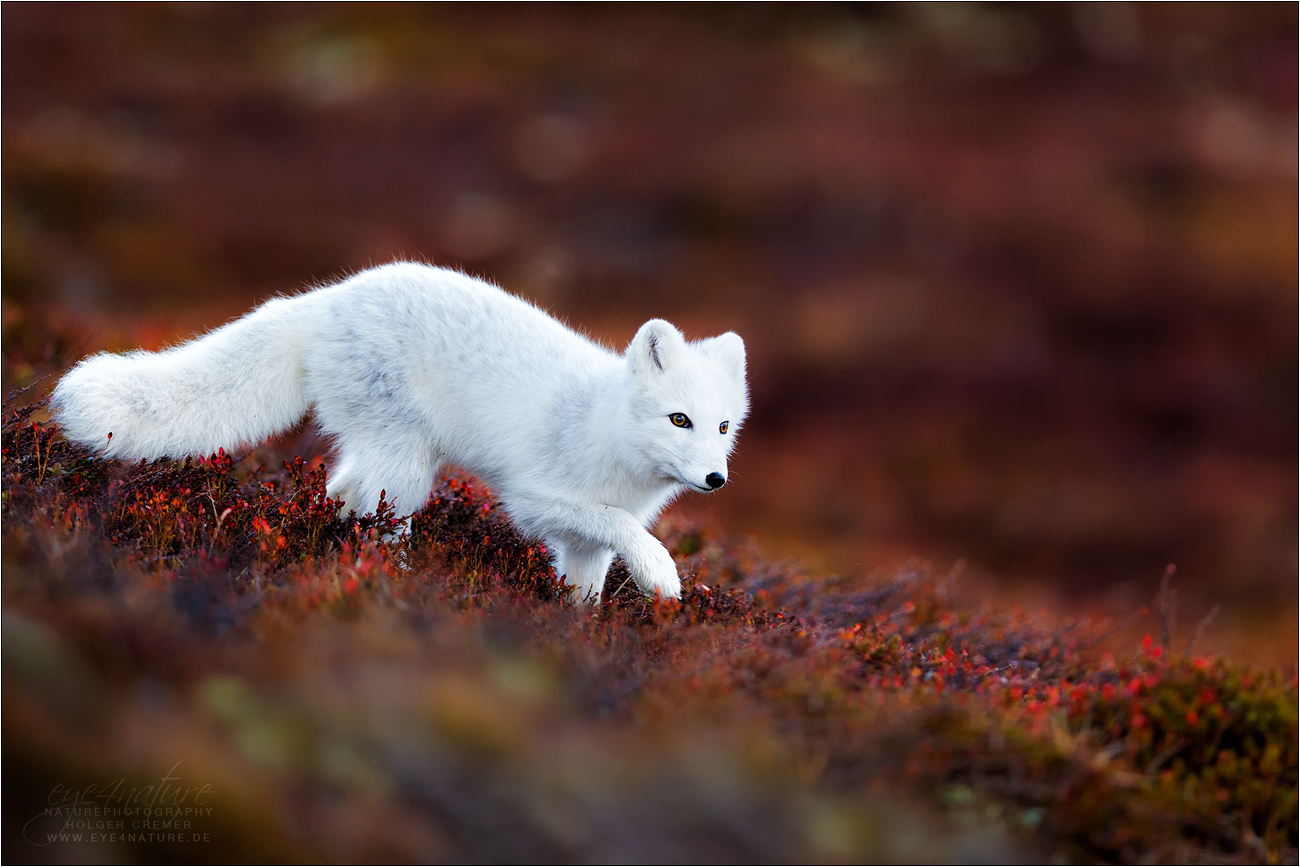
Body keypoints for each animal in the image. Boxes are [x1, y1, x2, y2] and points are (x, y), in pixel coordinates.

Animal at [50, 261, 748, 603]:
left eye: (721, 426)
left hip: (391, 456)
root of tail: (331, 297)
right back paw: (395, 586)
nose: (716, 479)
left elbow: (588, 588)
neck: (609, 433)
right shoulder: (535, 499)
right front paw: (662, 577)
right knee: (379, 521)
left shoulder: (583, 544)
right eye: (678, 419)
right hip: (407, 466)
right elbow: (625, 528)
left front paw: (579, 642)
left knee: (342, 492)